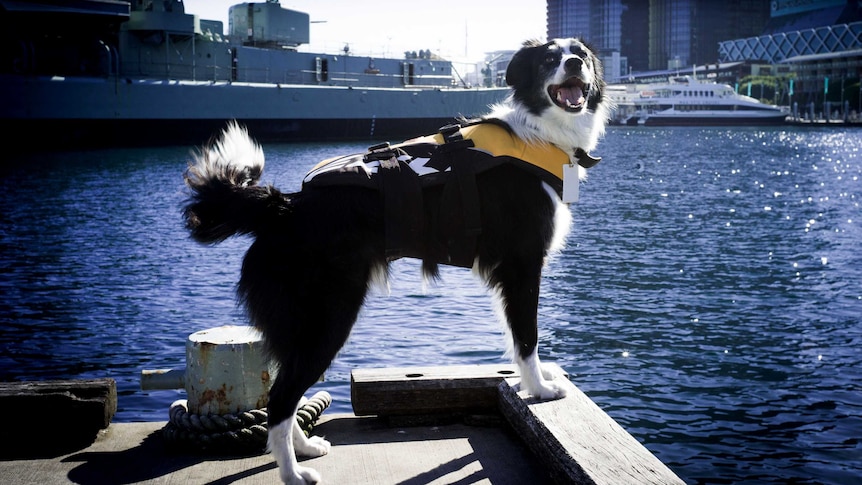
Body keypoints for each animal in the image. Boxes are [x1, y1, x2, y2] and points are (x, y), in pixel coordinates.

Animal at [186, 38, 612, 484]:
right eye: (549, 59)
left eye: (580, 53)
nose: (574, 63)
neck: (537, 131)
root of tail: (284, 205)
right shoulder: (523, 264)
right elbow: (527, 338)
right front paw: (541, 389)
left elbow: (516, 338)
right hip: (328, 316)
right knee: (283, 395)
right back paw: (292, 473)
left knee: (281, 393)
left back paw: (304, 448)